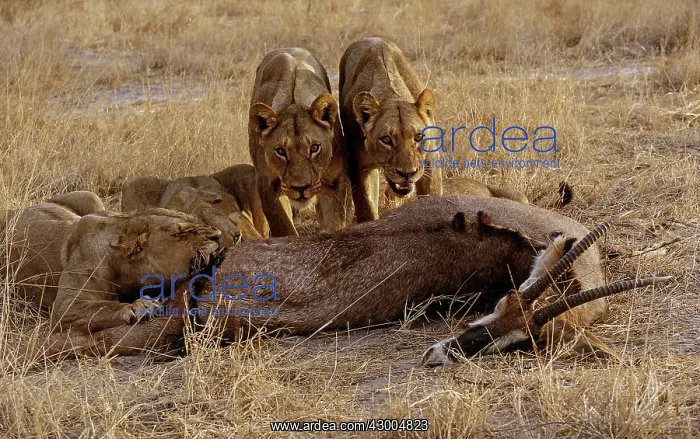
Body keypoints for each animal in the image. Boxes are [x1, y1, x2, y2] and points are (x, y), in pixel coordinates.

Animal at [249, 47, 351, 237]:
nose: (301, 188)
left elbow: (336, 223)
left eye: (314, 148)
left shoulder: (336, 182)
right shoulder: (266, 185)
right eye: (280, 151)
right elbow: (283, 228)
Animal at [339, 37, 443, 223]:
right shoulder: (359, 167)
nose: (407, 173)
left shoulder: (430, 160)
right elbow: (366, 208)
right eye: (386, 139)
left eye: (418, 137)